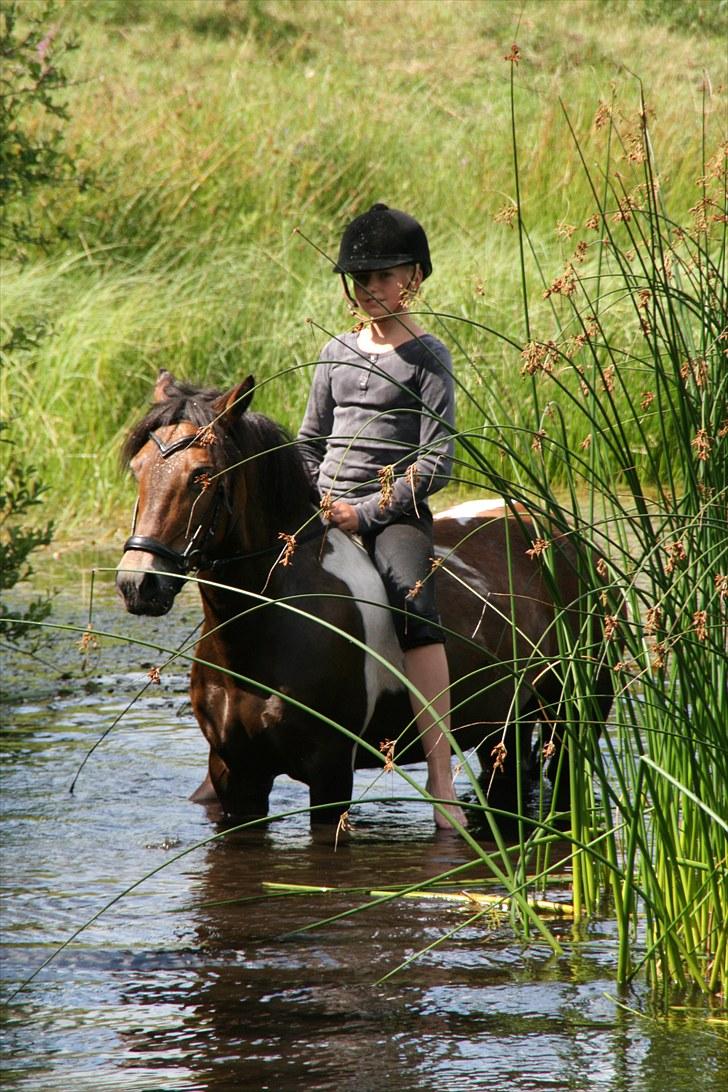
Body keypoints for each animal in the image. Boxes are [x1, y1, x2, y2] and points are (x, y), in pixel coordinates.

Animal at [115, 375, 615, 825]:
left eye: (202, 475)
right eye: (138, 469)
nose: (138, 583)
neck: (269, 623)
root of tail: (573, 543)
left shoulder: (330, 772)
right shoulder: (235, 773)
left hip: (573, 723)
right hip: (504, 728)